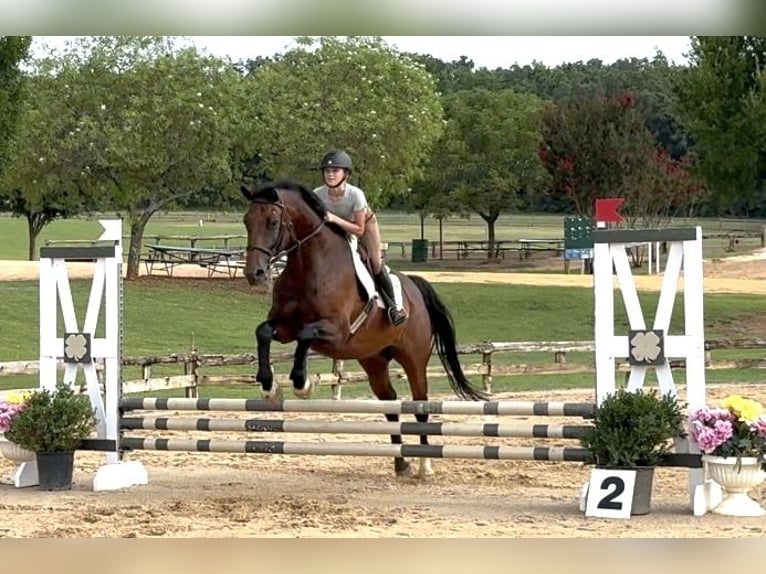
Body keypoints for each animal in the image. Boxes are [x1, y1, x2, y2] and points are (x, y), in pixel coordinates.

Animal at [240, 180, 488, 478]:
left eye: (273, 221)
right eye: (246, 220)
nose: (254, 274)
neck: (307, 265)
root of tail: (414, 288)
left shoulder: (336, 331)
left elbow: (305, 335)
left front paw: (303, 384)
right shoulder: (284, 326)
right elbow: (263, 332)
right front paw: (269, 387)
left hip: (414, 359)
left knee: (420, 405)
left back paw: (424, 465)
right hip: (373, 360)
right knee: (390, 402)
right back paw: (401, 463)